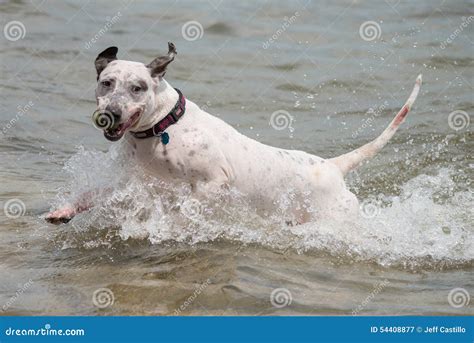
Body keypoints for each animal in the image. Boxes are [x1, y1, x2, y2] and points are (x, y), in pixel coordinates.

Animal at [45, 42, 422, 226]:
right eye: (106, 82)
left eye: (137, 88)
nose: (110, 114)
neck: (162, 129)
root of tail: (332, 167)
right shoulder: (130, 181)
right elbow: (92, 195)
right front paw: (64, 210)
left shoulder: (215, 182)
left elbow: (187, 206)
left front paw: (173, 223)